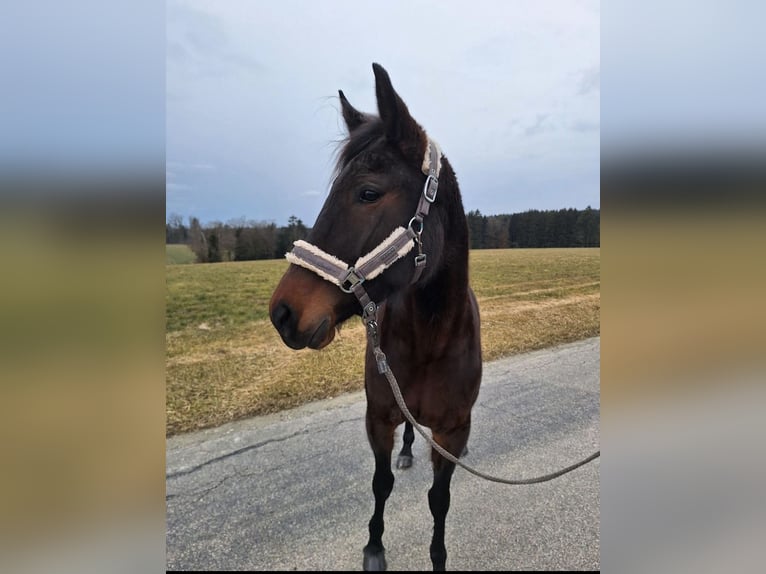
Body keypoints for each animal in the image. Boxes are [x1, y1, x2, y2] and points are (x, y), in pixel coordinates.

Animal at [270, 63, 484, 572]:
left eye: (368, 193)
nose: (282, 312)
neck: (431, 338)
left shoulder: (452, 429)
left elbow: (439, 499)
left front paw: (438, 556)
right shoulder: (378, 417)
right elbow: (380, 484)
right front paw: (373, 548)